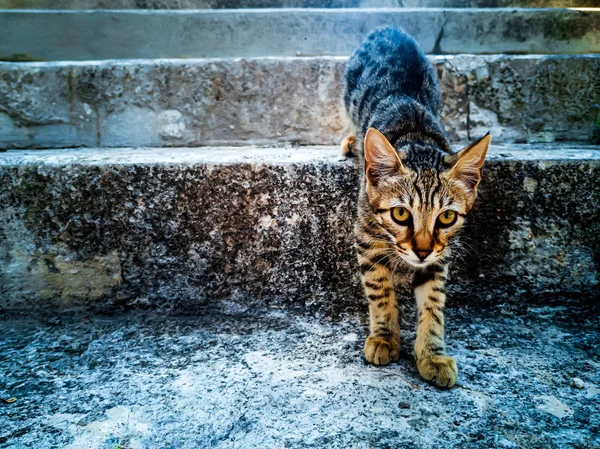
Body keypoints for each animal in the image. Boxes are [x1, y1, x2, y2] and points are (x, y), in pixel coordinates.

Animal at [342, 26, 492, 386]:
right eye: (400, 214)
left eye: (447, 217)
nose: (421, 251)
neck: (419, 140)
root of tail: (389, 28)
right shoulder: (365, 239)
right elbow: (379, 289)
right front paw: (384, 337)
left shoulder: (440, 256)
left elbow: (434, 303)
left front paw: (432, 354)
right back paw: (352, 140)